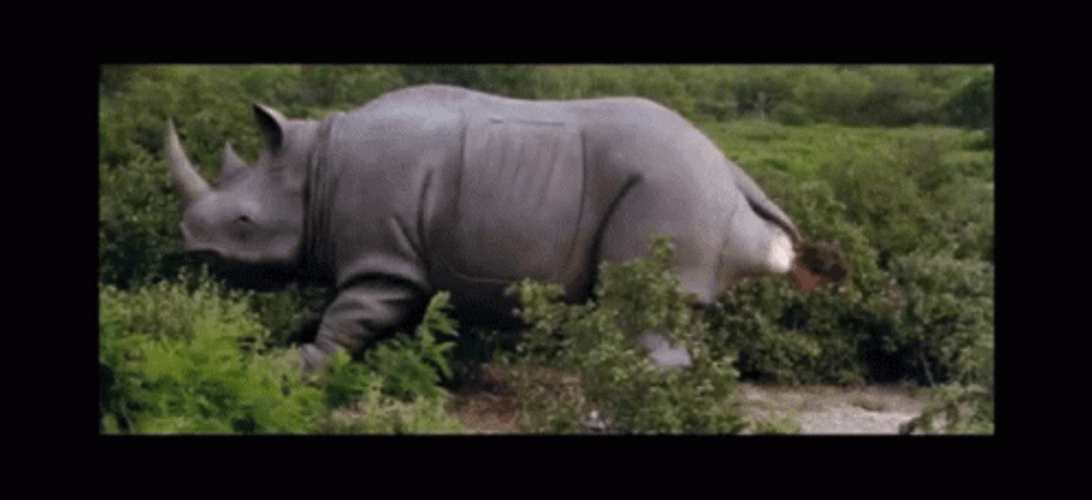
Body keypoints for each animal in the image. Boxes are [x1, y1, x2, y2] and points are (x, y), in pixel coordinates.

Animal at [166, 84, 845, 371]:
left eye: (244, 223)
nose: (191, 247)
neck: (316, 166)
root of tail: (728, 167)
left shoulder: (384, 255)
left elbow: (348, 316)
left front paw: (290, 367)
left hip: (671, 187)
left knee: (637, 302)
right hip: (689, 186)